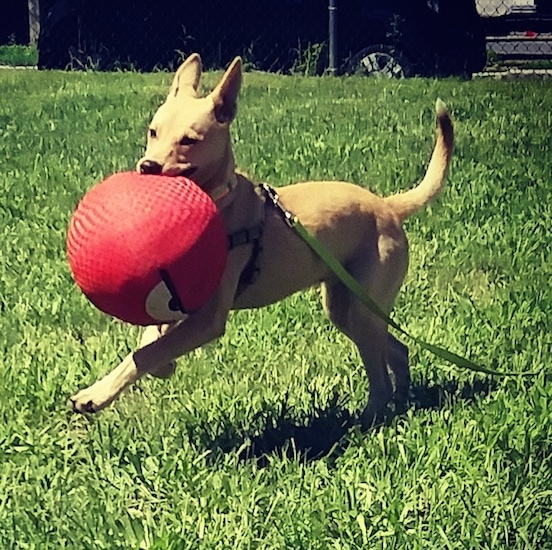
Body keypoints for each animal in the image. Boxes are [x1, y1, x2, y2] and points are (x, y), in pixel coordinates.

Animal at [70, 54, 452, 426]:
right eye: (153, 131)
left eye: (189, 140)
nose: (147, 166)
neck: (221, 200)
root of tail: (388, 206)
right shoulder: (183, 304)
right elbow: (151, 340)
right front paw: (159, 366)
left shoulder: (207, 318)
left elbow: (147, 351)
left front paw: (96, 394)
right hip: (346, 305)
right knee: (398, 350)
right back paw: (401, 403)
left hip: (362, 305)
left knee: (380, 374)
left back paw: (371, 417)